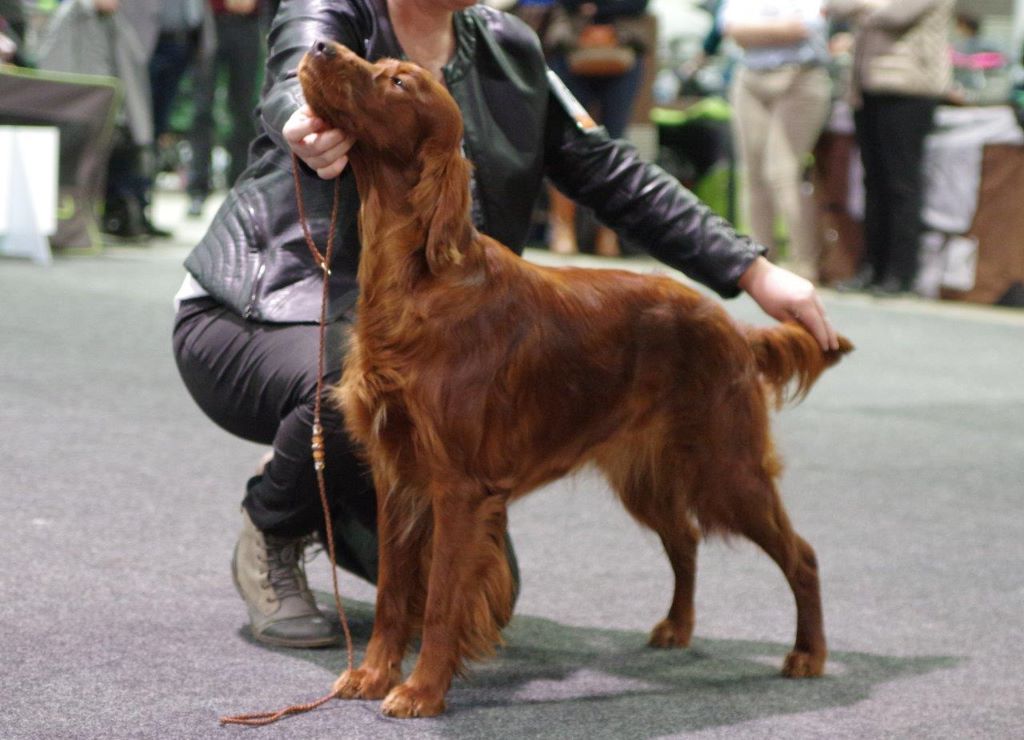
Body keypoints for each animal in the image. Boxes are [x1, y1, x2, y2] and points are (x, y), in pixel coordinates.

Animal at [299, 40, 851, 716]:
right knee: (686, 539)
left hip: (727, 469)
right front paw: (373, 674)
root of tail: (729, 324)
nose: (318, 45)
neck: (421, 282)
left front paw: (421, 692)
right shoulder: (397, 474)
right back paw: (677, 627)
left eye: (399, 82)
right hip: (648, 472)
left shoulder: (457, 486)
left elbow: (440, 600)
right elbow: (392, 593)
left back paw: (807, 655)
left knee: (801, 555)